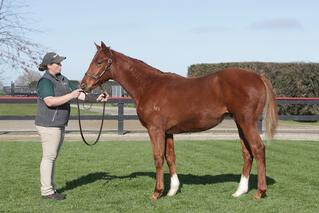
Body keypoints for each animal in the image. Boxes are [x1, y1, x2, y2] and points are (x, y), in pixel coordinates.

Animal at [80, 41, 278, 200]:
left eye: (99, 62)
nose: (83, 85)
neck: (149, 86)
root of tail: (258, 76)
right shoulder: (168, 132)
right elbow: (170, 157)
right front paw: (172, 190)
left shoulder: (155, 129)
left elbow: (158, 157)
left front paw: (157, 192)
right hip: (240, 124)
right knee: (247, 153)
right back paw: (239, 191)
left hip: (247, 122)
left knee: (258, 149)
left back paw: (260, 192)